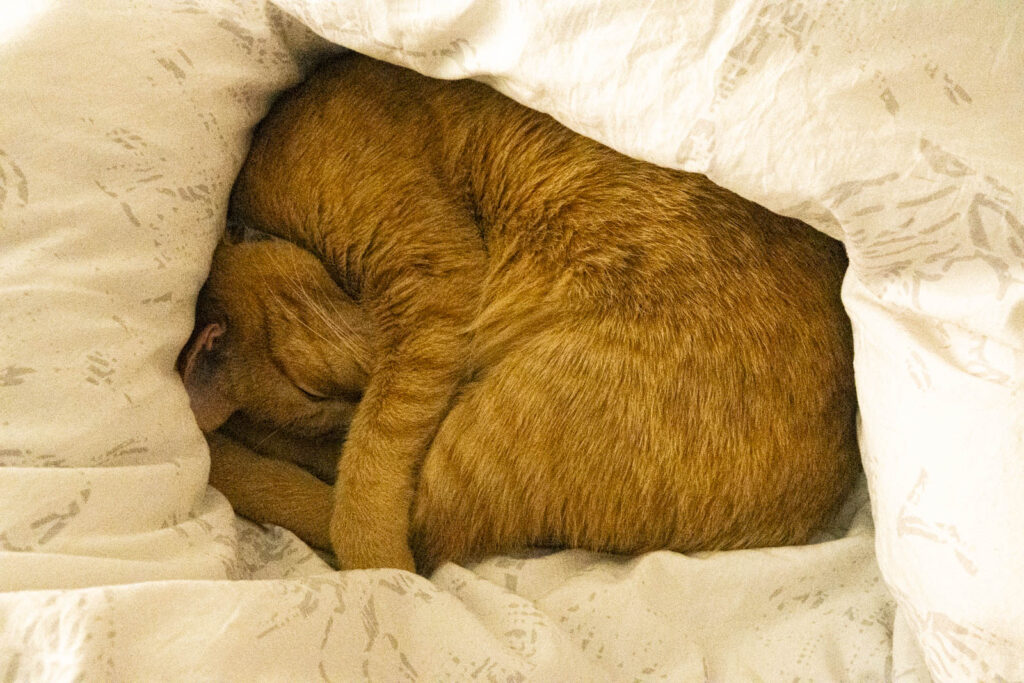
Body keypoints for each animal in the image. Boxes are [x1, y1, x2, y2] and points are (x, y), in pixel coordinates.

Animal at [180, 54, 860, 577]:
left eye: (311, 387)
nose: (350, 402)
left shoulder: (434, 287)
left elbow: (370, 469)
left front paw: (376, 564)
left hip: (499, 420)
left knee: (402, 524)